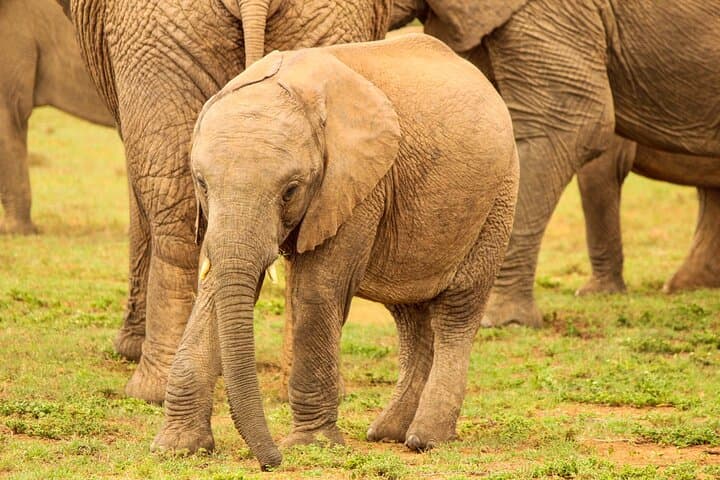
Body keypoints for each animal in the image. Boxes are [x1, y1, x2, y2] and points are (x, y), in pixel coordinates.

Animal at [152, 34, 519, 469]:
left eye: (290, 190)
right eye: (201, 183)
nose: (271, 461)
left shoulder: (356, 184)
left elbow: (316, 291)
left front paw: (310, 446)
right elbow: (214, 290)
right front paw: (177, 448)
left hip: (498, 196)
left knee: (456, 312)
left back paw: (426, 439)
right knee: (410, 316)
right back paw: (388, 433)